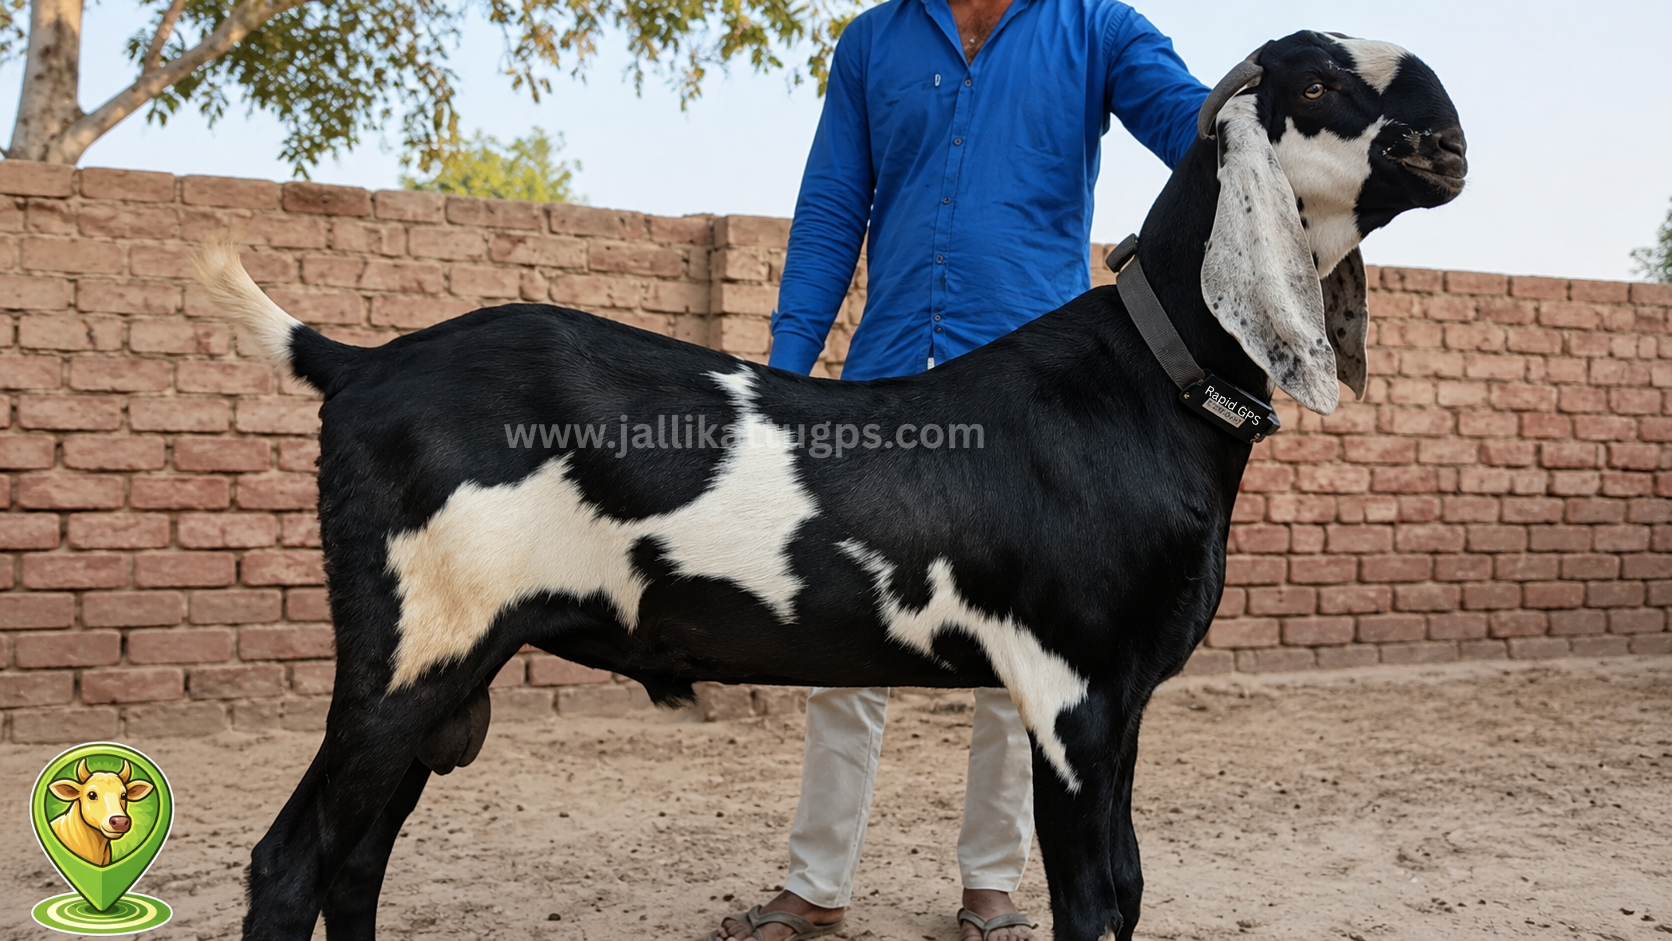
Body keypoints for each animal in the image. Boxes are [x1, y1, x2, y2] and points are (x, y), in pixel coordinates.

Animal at [200, 30, 1465, 941]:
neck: (1148, 378)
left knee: (355, 860)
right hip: (409, 648)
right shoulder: (1070, 690)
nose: (1445, 128)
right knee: (292, 862)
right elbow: (1096, 899)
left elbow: (1131, 891)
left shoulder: (1122, 698)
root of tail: (358, 362)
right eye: (1317, 78)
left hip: (445, 662)